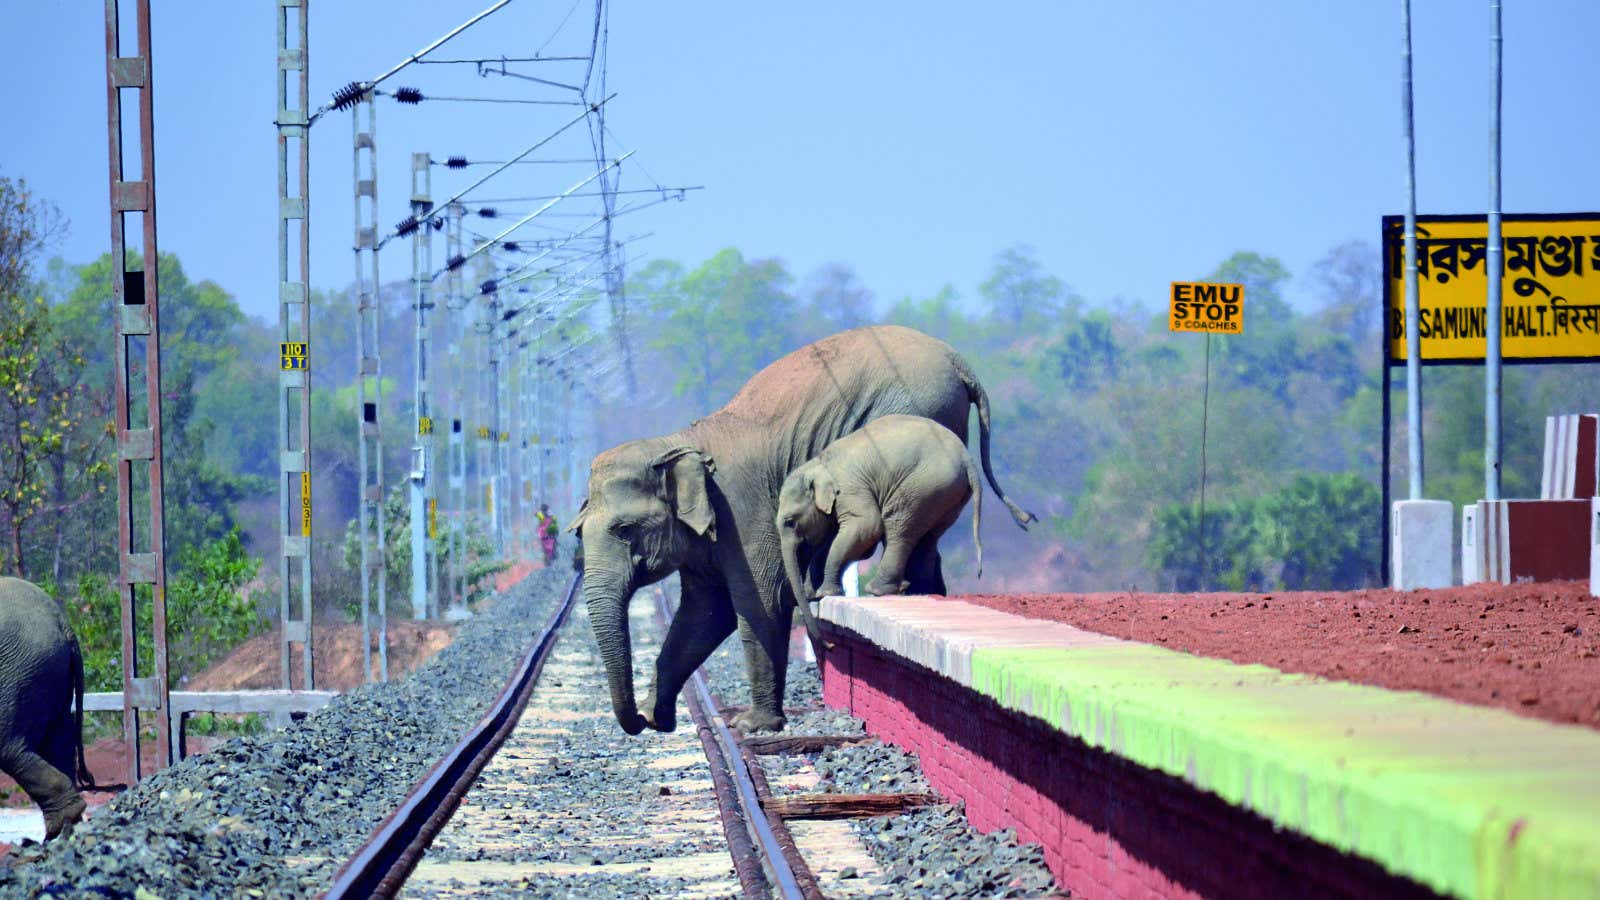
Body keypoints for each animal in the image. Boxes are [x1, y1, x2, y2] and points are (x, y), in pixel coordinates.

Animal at [780, 413, 979, 602]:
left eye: (790, 521)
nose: (806, 600)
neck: (818, 464)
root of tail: (967, 458)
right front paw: (818, 592)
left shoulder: (849, 489)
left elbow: (868, 527)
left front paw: (825, 593)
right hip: (948, 495)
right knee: (928, 536)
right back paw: (915, 591)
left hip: (923, 485)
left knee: (898, 527)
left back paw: (878, 590)